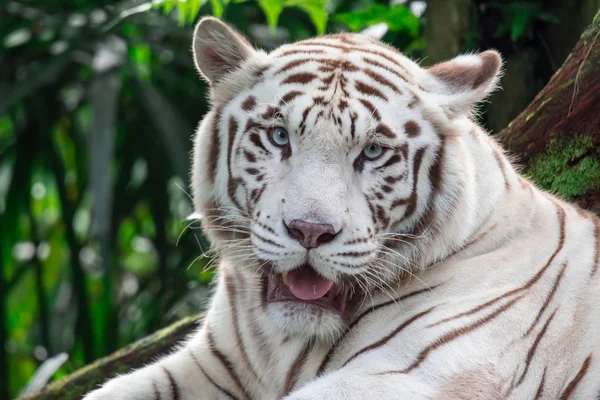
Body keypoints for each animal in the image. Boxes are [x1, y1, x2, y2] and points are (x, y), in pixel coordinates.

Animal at [83, 16, 600, 400]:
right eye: (279, 137)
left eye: (372, 151)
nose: (309, 231)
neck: (283, 345)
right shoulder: (209, 364)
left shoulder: (415, 374)